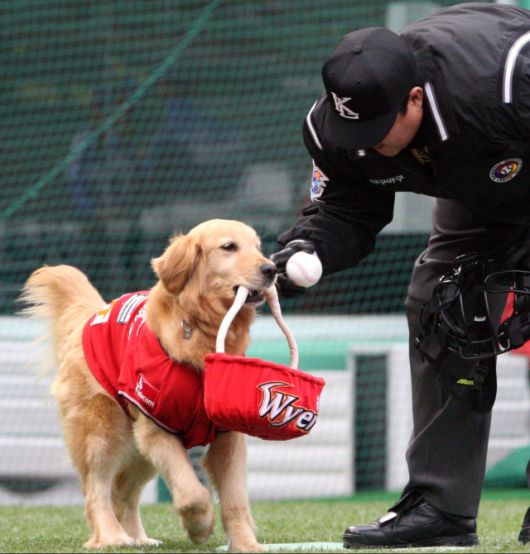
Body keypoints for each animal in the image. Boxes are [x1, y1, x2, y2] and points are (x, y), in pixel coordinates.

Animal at [21, 219, 276, 552]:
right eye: (229, 247)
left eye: (258, 247)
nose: (272, 269)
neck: (201, 332)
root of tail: (93, 312)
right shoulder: (157, 426)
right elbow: (192, 491)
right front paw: (199, 526)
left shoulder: (227, 436)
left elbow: (235, 501)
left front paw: (246, 545)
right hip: (102, 432)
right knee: (96, 491)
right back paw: (112, 537)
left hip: (137, 450)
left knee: (123, 493)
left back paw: (138, 538)